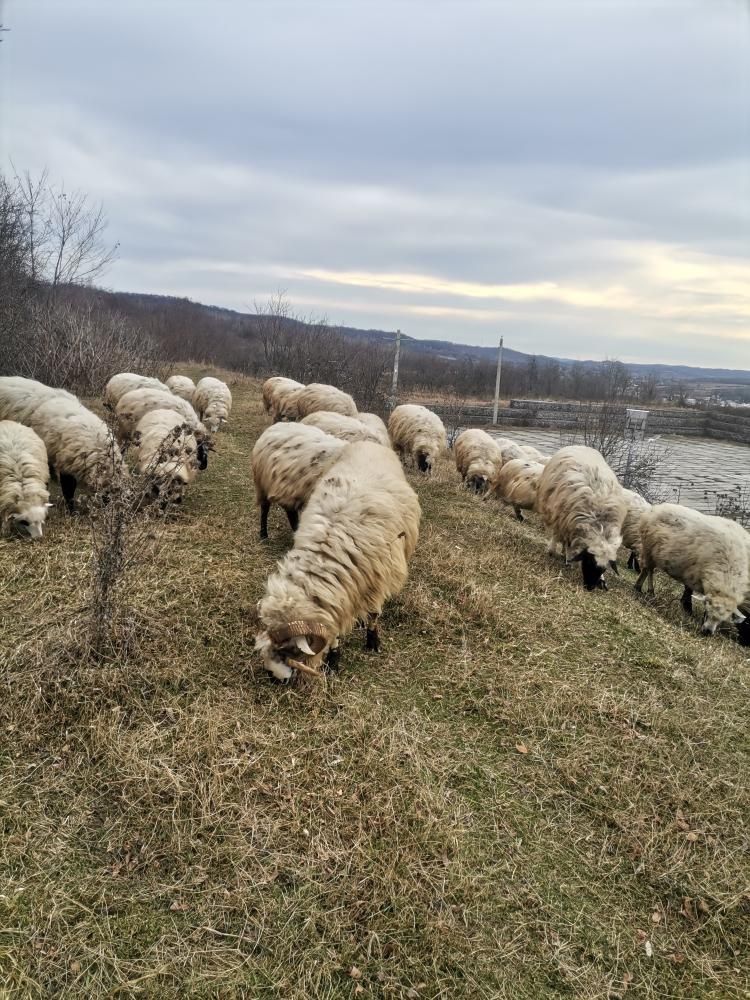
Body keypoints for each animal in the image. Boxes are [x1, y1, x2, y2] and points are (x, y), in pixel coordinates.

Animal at [258, 442, 424, 684]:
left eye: (289, 649)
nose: (273, 677)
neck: (329, 549)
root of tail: (369, 442)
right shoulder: (336, 596)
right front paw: (334, 659)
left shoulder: (378, 579)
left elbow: (374, 613)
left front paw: (373, 641)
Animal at [536, 444, 628, 588]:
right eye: (589, 562)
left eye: (604, 569)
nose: (589, 588)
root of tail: (580, 446)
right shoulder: (566, 520)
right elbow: (566, 543)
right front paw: (566, 559)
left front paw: (602, 580)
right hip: (555, 510)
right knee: (557, 535)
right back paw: (553, 551)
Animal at [636, 504, 750, 636]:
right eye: (708, 610)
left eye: (722, 619)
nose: (708, 632)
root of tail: (656, 508)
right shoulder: (694, 574)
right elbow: (688, 592)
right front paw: (688, 609)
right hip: (649, 548)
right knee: (648, 570)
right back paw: (648, 590)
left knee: (647, 570)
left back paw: (640, 587)